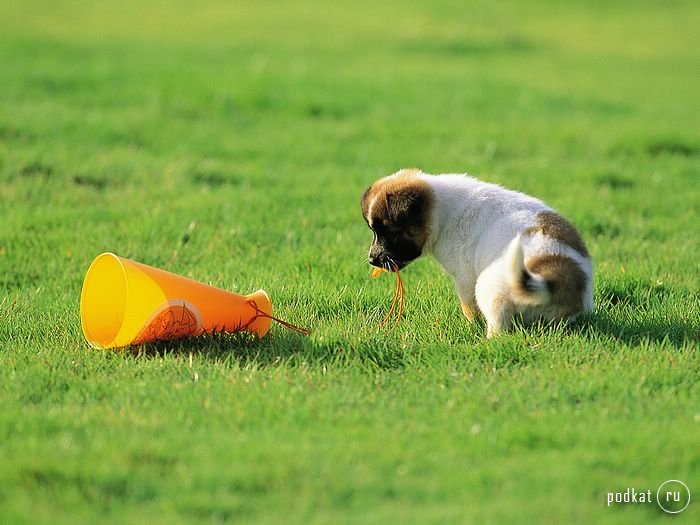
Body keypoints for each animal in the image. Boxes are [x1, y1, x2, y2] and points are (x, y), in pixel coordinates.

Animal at [364, 170, 592, 338]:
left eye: (390, 232)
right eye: (374, 231)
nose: (372, 260)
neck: (442, 211)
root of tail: (557, 280)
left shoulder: (465, 277)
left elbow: (468, 306)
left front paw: (472, 325)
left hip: (488, 287)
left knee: (498, 325)